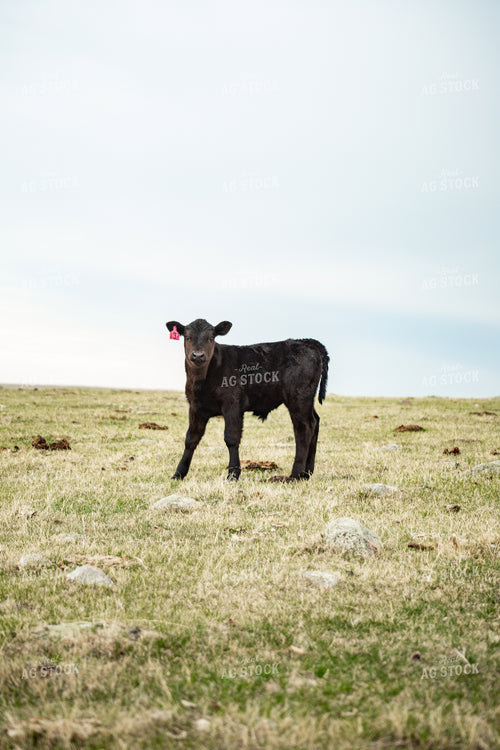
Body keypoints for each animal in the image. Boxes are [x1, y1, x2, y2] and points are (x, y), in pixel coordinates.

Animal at [166, 318, 329, 482]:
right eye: (188, 337)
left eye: (211, 338)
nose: (198, 355)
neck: (202, 380)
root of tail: (306, 342)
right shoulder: (195, 407)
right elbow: (191, 439)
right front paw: (178, 473)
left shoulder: (232, 405)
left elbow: (231, 438)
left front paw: (233, 474)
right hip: (306, 400)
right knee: (315, 422)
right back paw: (307, 473)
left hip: (298, 398)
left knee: (304, 428)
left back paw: (295, 474)